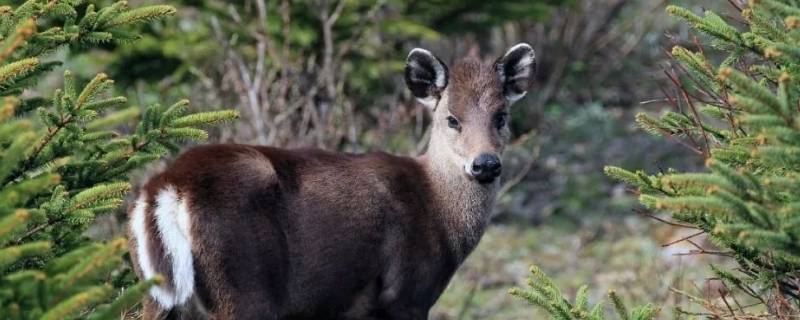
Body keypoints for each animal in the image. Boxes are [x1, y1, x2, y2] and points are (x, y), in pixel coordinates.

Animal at [128, 43, 536, 320]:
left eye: (501, 116)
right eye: (452, 119)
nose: (485, 164)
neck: (438, 211)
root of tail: (168, 185)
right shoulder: (407, 292)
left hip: (157, 296)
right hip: (244, 284)